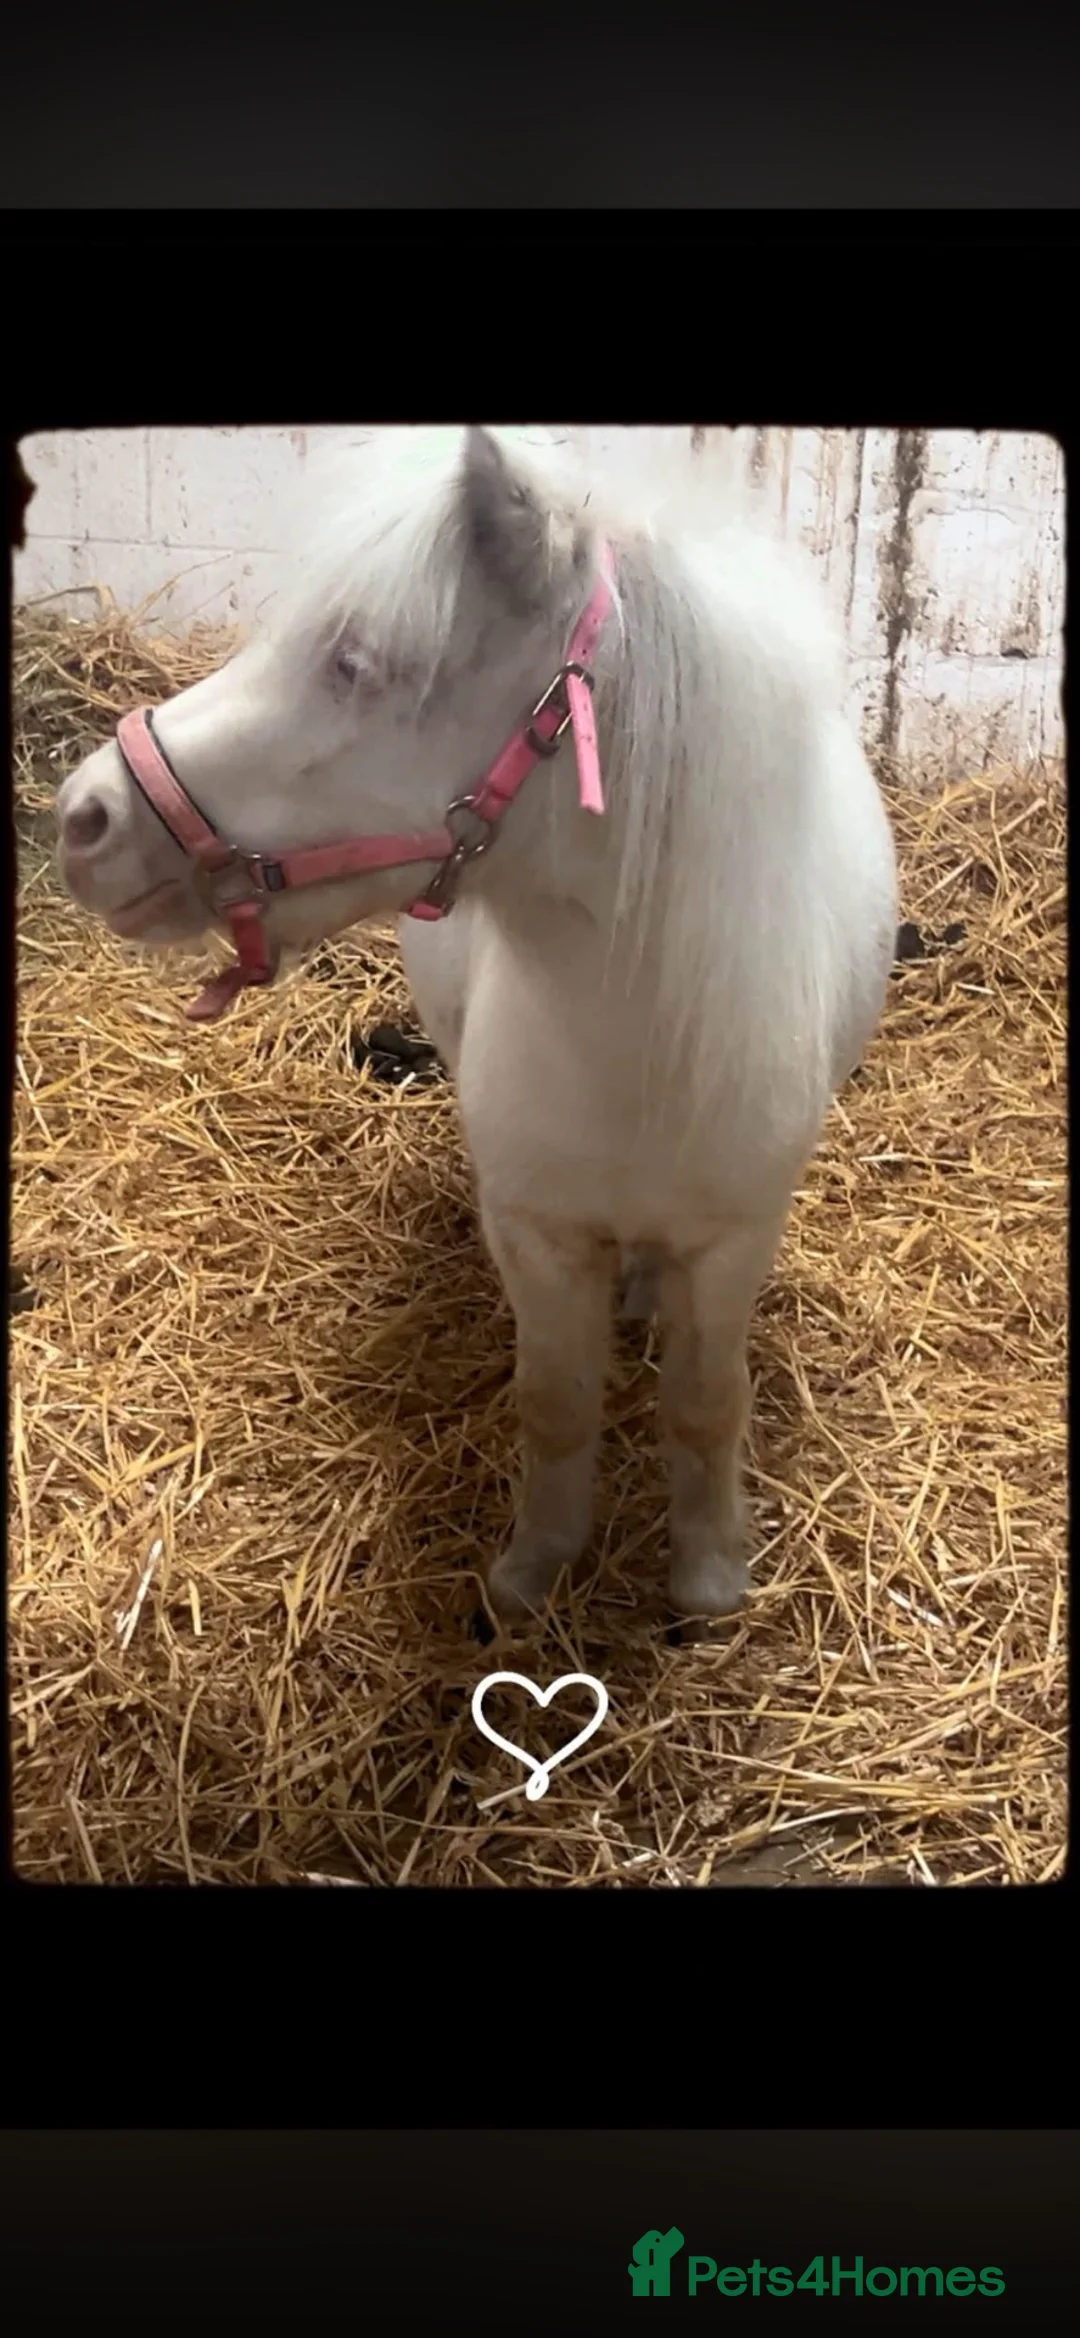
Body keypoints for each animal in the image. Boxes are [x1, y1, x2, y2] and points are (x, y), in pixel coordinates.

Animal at [55, 423, 899, 1624]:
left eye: (356, 662)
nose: (83, 818)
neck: (635, 1046)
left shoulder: (734, 1238)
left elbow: (704, 1403)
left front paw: (706, 1582)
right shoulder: (536, 1233)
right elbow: (556, 1401)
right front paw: (533, 1573)